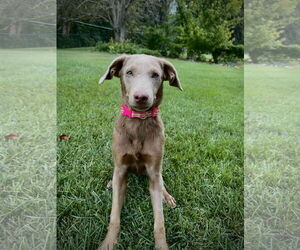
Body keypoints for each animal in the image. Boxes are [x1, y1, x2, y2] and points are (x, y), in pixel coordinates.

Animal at [99, 54, 182, 250]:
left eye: (156, 75)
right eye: (129, 72)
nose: (141, 97)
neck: (139, 122)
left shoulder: (153, 171)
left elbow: (159, 221)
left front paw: (161, 245)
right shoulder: (121, 168)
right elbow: (114, 215)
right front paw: (108, 243)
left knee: (162, 183)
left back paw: (168, 197)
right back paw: (110, 183)